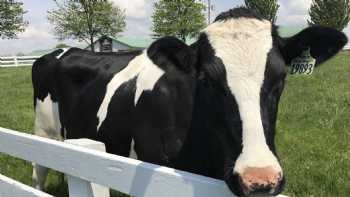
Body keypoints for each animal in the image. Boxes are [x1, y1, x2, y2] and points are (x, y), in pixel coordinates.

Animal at [32, 7, 348, 197]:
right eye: (206, 79)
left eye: (281, 77)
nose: (259, 178)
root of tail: (62, 51)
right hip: (42, 130)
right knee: (39, 172)